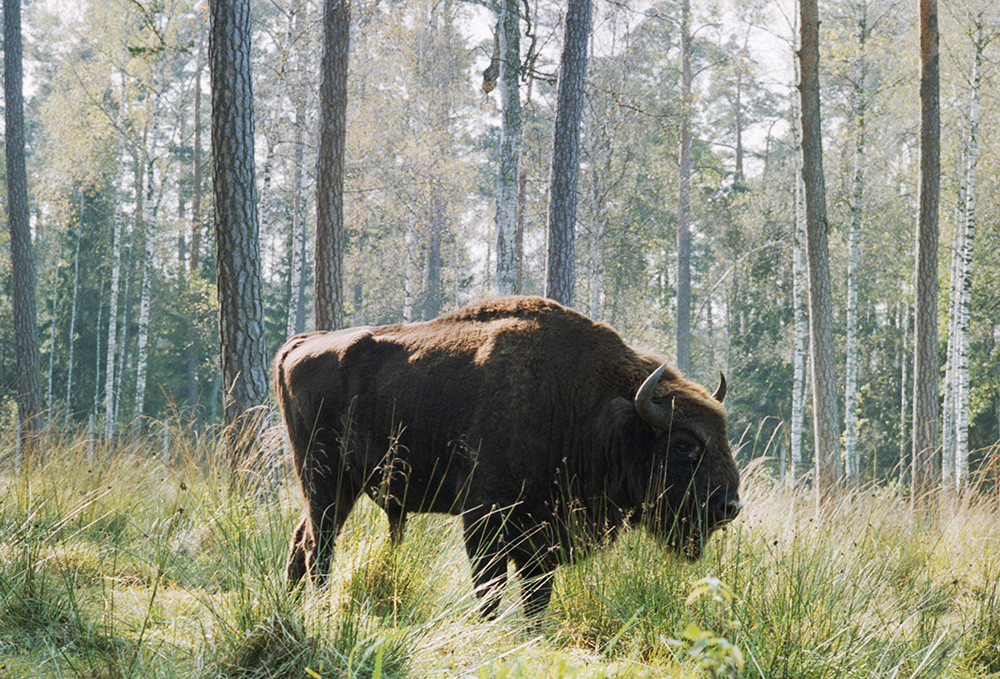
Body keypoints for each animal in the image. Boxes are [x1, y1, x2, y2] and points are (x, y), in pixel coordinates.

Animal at [278, 294, 740, 620]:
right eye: (684, 445)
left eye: (723, 435)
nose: (729, 506)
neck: (595, 408)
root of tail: (300, 344)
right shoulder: (485, 519)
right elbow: (491, 587)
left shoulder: (542, 533)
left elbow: (537, 595)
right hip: (325, 478)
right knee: (319, 546)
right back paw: (318, 608)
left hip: (339, 486)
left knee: (302, 540)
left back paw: (294, 606)